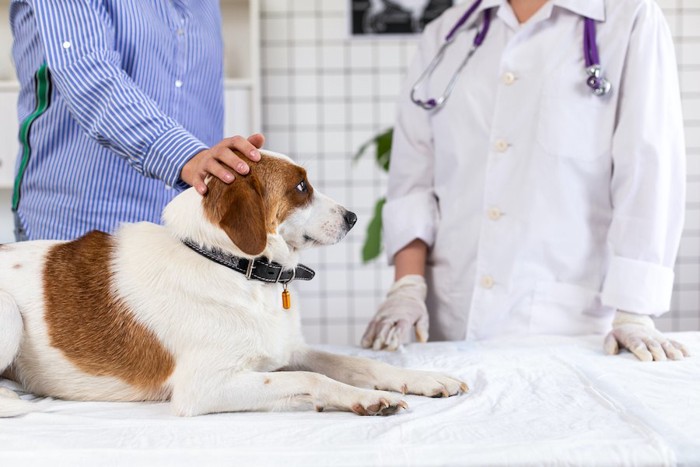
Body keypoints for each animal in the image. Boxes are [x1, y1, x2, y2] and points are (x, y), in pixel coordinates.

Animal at [1, 149, 470, 416]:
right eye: (301, 186)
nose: (354, 217)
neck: (233, 267)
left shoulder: (289, 351)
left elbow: (363, 365)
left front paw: (427, 380)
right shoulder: (204, 388)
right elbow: (313, 380)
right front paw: (367, 399)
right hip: (9, 315)